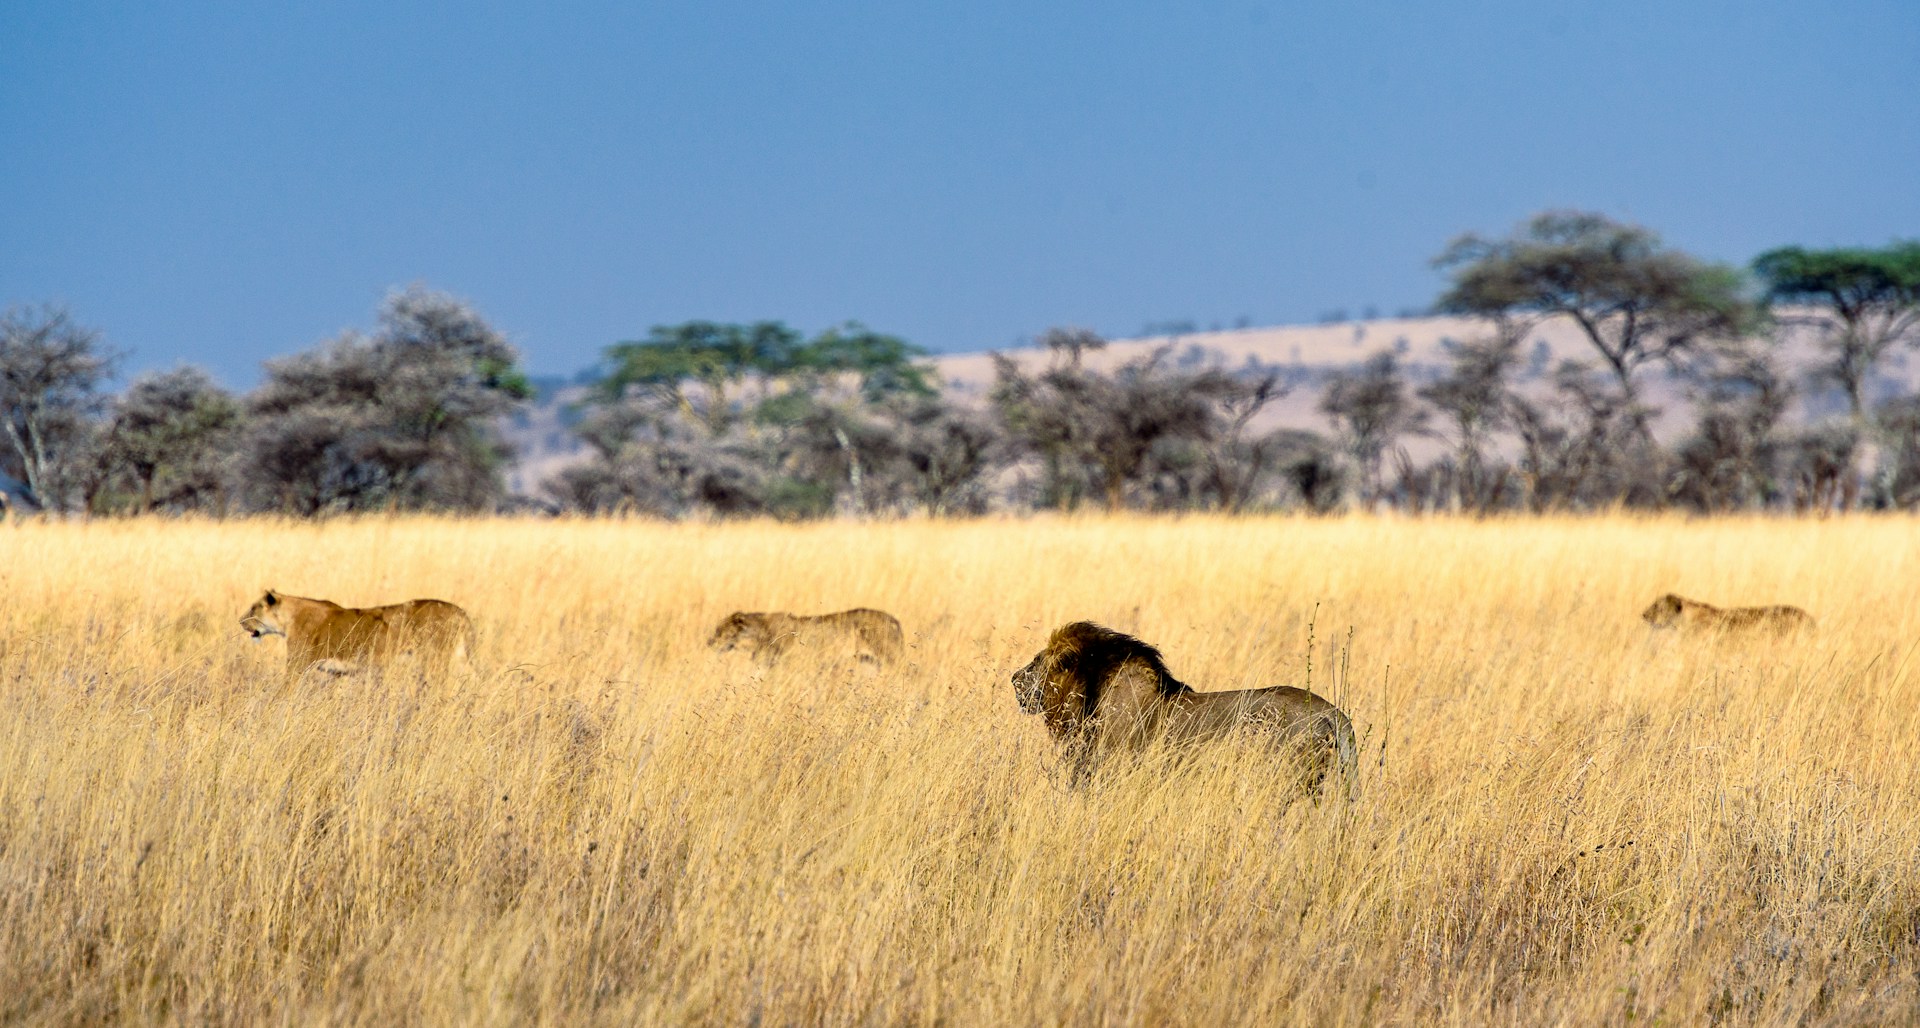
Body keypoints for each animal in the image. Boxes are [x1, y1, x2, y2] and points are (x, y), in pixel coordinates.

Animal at [237, 591, 476, 680]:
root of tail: (462, 612)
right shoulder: (336, 672)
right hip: (459, 659)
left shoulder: (298, 665)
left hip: (436, 662)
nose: (240, 621)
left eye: (254, 608)